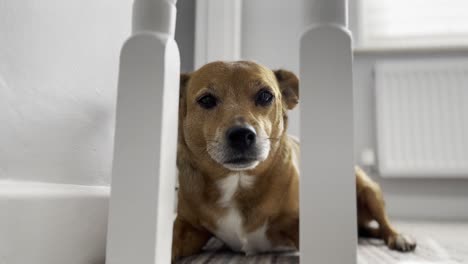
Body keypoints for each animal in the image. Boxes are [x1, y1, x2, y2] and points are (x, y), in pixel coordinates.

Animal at [173, 60, 416, 260]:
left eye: (265, 96)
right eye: (206, 100)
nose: (242, 135)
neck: (238, 183)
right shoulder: (186, 226)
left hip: (369, 189)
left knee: (384, 223)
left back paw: (399, 237)